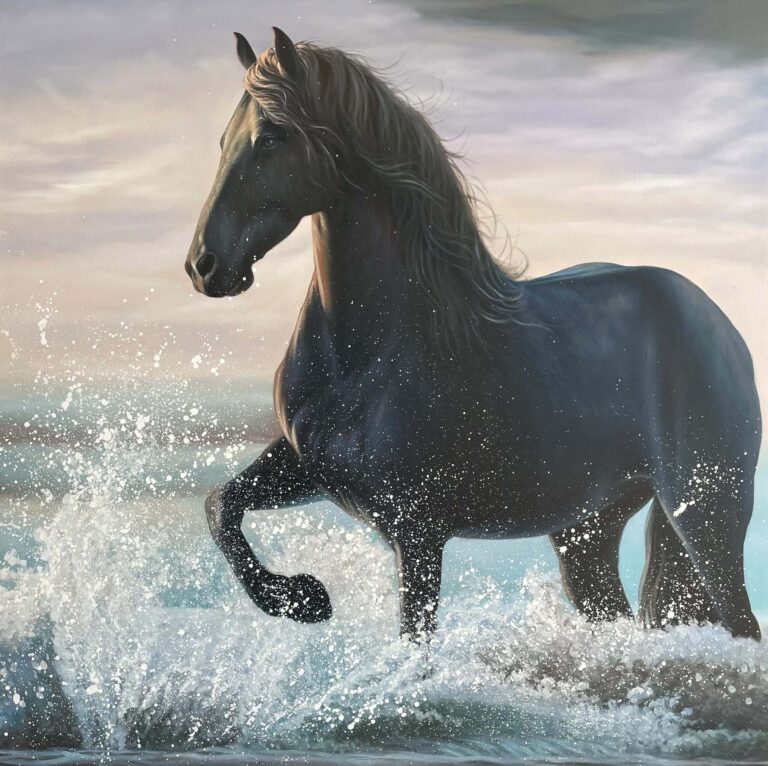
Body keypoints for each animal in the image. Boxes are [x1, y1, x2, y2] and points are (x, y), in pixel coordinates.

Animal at [185, 27, 761, 641]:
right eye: (222, 140)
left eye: (273, 137)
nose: (204, 266)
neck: (365, 358)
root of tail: (724, 329)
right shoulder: (304, 465)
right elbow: (219, 505)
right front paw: (302, 598)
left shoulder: (417, 531)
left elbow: (413, 639)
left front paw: (305, 598)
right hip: (587, 534)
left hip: (707, 517)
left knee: (743, 623)